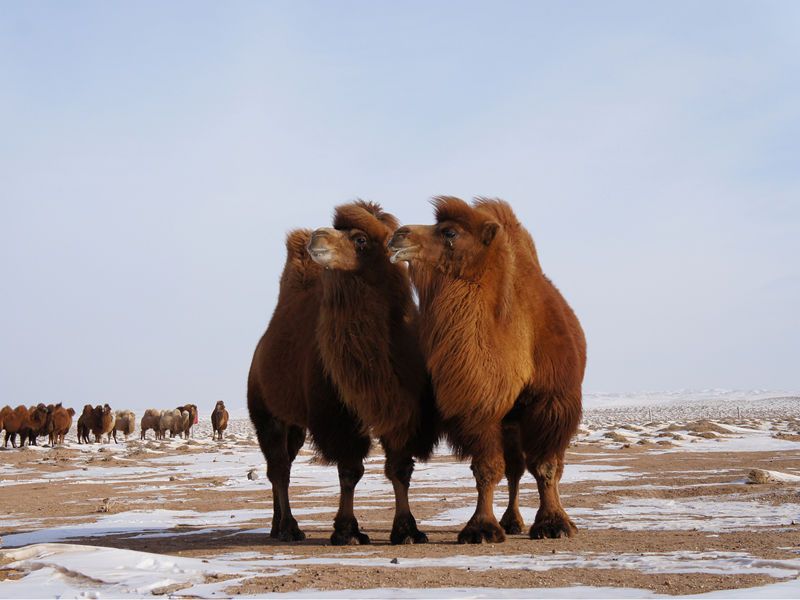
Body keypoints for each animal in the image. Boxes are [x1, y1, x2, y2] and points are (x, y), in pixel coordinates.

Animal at [248, 200, 438, 544]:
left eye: (360, 239)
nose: (317, 236)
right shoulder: (338, 415)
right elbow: (350, 471)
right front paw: (347, 530)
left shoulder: (401, 408)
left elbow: (400, 468)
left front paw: (408, 530)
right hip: (266, 412)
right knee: (279, 468)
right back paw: (289, 528)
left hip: (296, 425)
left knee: (282, 465)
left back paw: (276, 525)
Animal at [390, 197, 588, 544]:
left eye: (450, 232)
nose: (399, 235)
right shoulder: (479, 407)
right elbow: (487, 468)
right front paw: (481, 528)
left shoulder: (552, 402)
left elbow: (547, 467)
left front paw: (553, 524)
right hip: (510, 422)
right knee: (514, 469)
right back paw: (511, 521)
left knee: (547, 465)